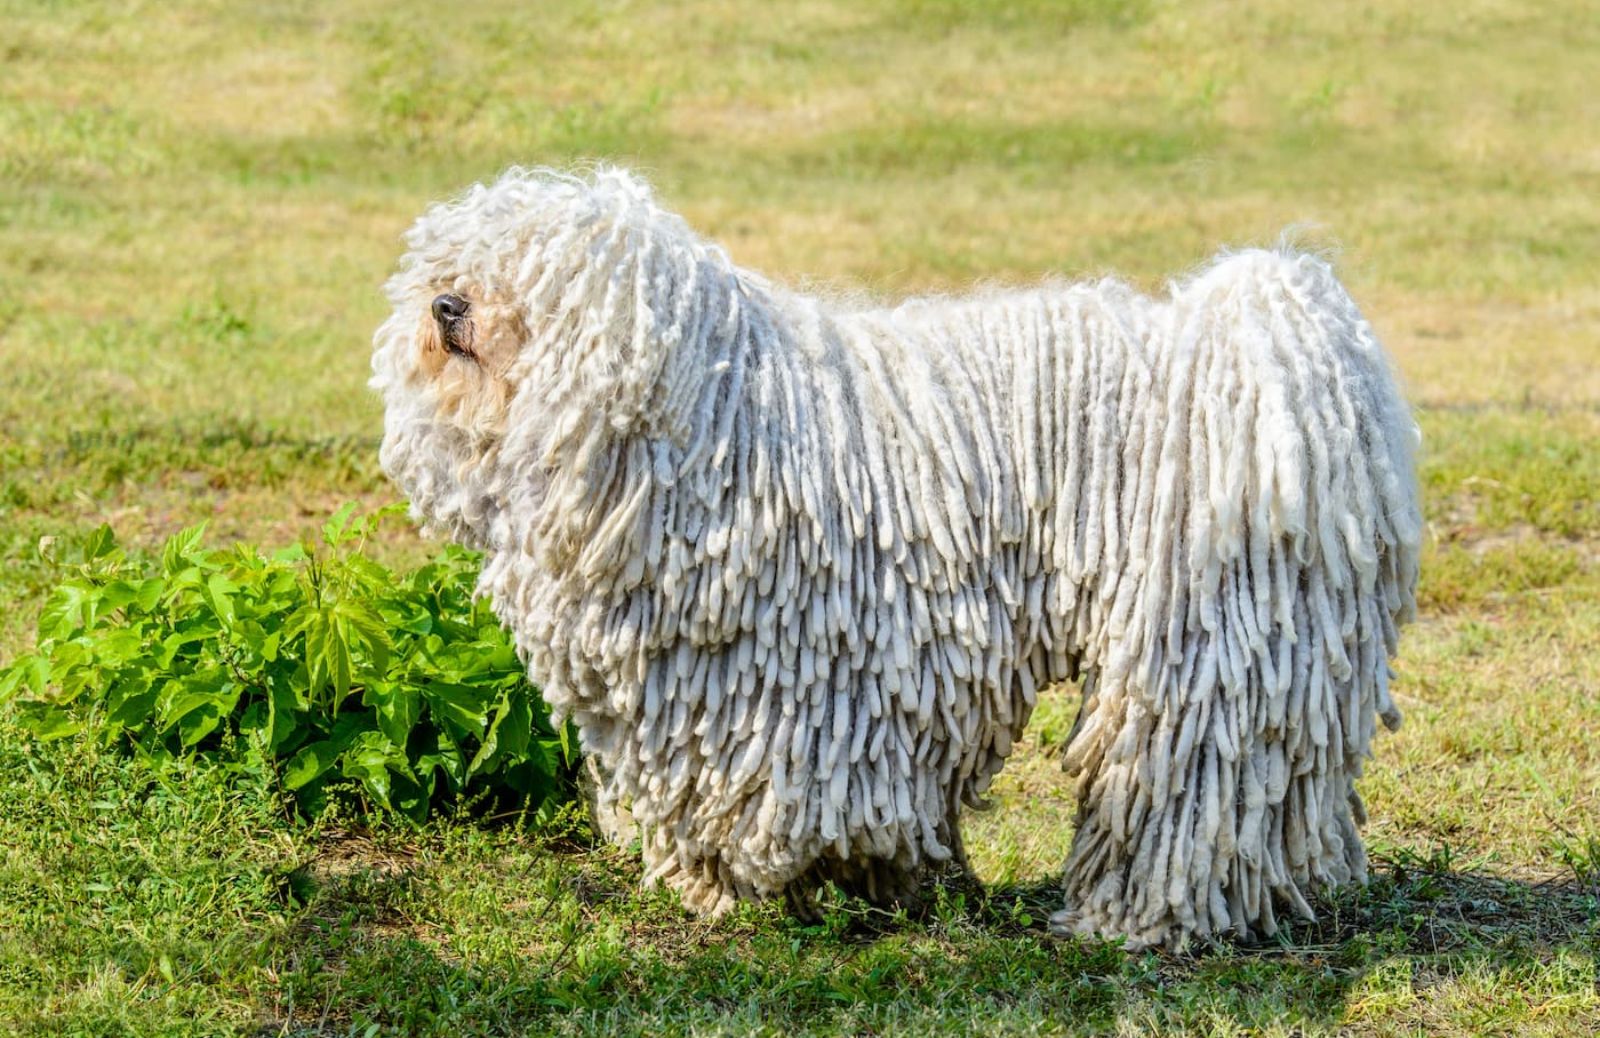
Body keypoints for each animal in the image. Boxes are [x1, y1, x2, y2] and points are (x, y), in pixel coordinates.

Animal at [368, 167, 1420, 946]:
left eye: (536, 278)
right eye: (457, 259)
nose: (447, 304)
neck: (704, 420)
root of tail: (1281, 354)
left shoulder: (794, 679)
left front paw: (768, 888)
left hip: (1197, 641)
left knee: (1186, 781)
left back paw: (1138, 919)